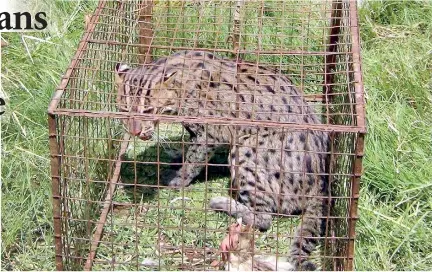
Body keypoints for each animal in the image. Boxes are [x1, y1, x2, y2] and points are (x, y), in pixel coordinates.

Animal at [114, 50, 328, 270]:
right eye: (124, 110)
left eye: (148, 110)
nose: (135, 131)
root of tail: (321, 184)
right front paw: (177, 158)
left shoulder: (209, 132)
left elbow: (194, 159)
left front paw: (178, 178)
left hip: (246, 149)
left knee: (264, 219)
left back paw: (222, 203)